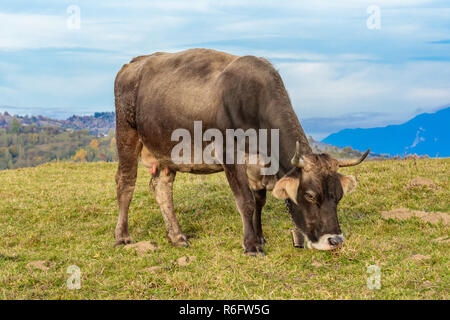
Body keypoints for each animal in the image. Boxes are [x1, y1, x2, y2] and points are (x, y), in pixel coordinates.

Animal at [113, 48, 370, 255]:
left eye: (338, 196)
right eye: (310, 196)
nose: (335, 240)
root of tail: (133, 63)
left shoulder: (257, 166)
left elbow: (259, 201)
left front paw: (260, 236)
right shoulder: (229, 154)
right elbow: (245, 201)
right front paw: (251, 245)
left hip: (165, 151)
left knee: (162, 189)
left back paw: (177, 236)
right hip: (126, 132)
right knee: (126, 182)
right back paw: (123, 236)